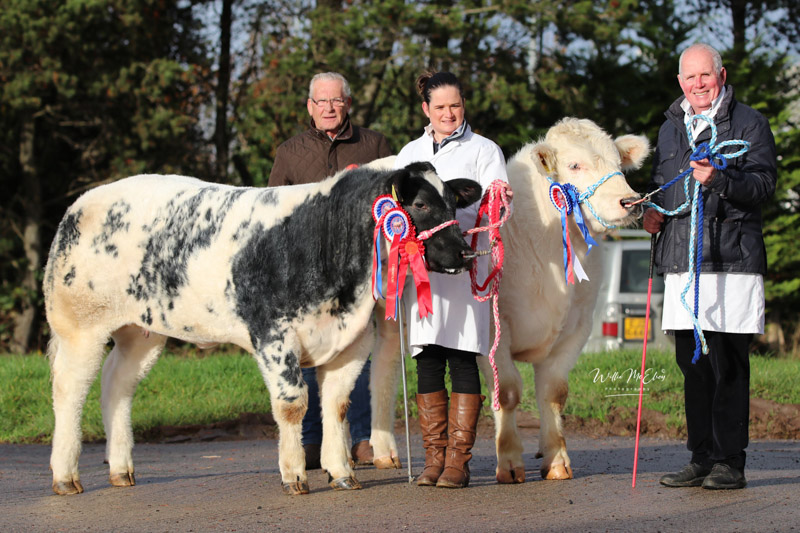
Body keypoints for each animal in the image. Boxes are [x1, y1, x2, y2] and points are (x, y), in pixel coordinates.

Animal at [45, 162, 482, 494]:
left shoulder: (352, 341)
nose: (465, 252)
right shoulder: (273, 334)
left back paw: (121, 469)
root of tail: (80, 204)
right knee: (69, 390)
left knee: (117, 385)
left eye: (452, 203)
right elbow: (292, 404)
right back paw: (65, 476)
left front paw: (341, 472)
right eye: (420, 204)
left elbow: (337, 404)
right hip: (79, 324)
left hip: (141, 331)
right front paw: (294, 475)